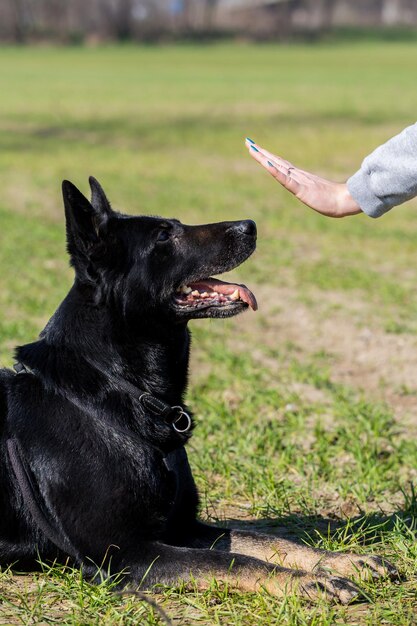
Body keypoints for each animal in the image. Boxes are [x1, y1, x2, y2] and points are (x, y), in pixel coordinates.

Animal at [0, 179, 394, 600]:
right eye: (163, 236)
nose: (250, 225)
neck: (118, 385)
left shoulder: (184, 527)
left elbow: (265, 541)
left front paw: (339, 560)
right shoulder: (127, 552)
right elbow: (232, 560)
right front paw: (308, 580)